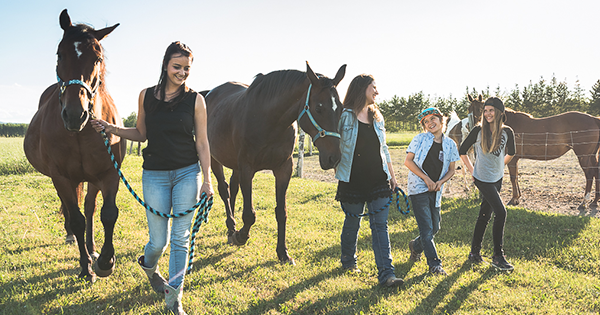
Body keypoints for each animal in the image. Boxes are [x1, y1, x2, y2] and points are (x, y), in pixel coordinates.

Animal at [23, 9, 125, 282]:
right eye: (60, 54)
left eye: (97, 57)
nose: (74, 114)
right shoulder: (61, 177)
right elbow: (77, 218)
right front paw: (85, 267)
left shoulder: (109, 173)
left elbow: (107, 213)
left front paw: (105, 261)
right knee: (72, 210)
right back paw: (73, 237)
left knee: (89, 208)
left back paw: (91, 247)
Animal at [205, 62, 346, 264]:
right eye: (319, 108)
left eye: (340, 108)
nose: (334, 157)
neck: (269, 121)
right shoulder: (247, 169)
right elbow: (249, 215)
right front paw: (241, 236)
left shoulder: (283, 169)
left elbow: (281, 212)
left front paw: (283, 252)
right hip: (214, 159)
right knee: (224, 190)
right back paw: (232, 228)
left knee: (233, 188)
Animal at [468, 96, 600, 210]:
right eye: (469, 109)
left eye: (482, 109)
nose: (475, 127)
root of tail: (594, 119)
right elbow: (516, 177)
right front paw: (518, 197)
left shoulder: (512, 159)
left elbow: (513, 177)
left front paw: (514, 199)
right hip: (592, 156)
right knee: (596, 172)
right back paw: (594, 201)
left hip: (584, 156)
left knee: (589, 174)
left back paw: (584, 202)